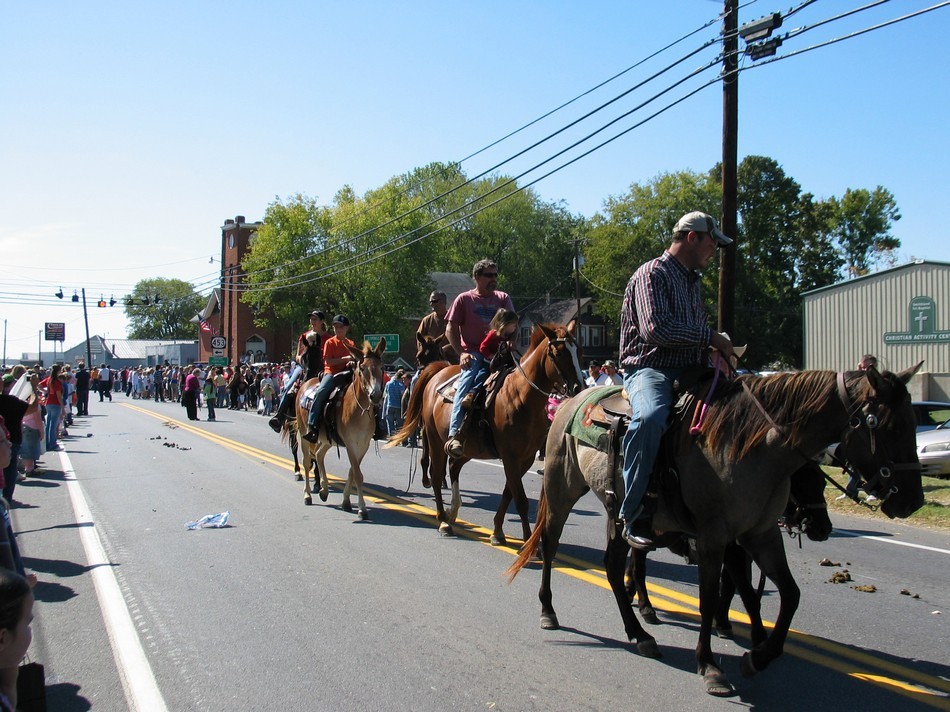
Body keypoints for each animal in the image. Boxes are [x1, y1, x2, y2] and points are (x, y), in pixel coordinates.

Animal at [298, 340, 386, 516]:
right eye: (362, 368)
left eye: (381, 367)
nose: (375, 395)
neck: (359, 410)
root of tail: (305, 383)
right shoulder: (350, 444)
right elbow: (357, 474)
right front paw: (362, 509)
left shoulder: (363, 445)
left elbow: (353, 471)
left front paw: (346, 502)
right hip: (303, 433)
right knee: (306, 461)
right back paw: (308, 495)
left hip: (327, 439)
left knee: (319, 455)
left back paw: (324, 490)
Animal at [388, 322, 588, 544]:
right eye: (558, 353)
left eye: (579, 351)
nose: (579, 387)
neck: (521, 396)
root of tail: (438, 371)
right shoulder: (510, 457)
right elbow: (520, 499)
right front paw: (527, 540)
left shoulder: (524, 458)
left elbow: (509, 493)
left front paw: (498, 532)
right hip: (434, 438)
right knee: (437, 474)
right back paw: (443, 521)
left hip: (468, 448)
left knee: (453, 467)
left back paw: (453, 511)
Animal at [510, 368, 924, 696]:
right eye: (887, 426)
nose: (912, 501)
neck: (751, 449)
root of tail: (569, 400)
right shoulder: (715, 539)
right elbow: (712, 598)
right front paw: (711, 665)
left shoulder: (760, 536)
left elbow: (787, 595)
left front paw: (760, 654)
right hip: (562, 490)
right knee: (550, 546)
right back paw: (549, 610)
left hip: (618, 515)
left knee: (614, 567)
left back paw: (640, 634)